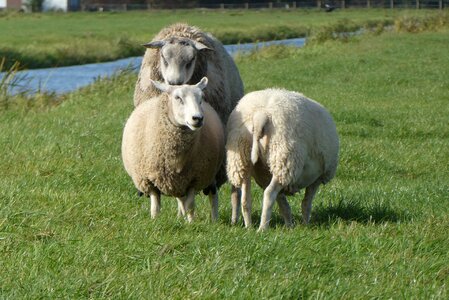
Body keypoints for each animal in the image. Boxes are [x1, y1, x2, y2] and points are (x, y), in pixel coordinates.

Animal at [121, 77, 224, 223]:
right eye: (177, 98)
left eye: (201, 98)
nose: (198, 118)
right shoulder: (150, 181)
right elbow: (155, 207)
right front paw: (155, 221)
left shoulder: (194, 179)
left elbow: (190, 205)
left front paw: (191, 223)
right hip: (176, 182)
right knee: (180, 199)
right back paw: (180, 217)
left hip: (209, 174)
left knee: (212, 195)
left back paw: (214, 220)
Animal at [226, 88, 338, 231]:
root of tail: (260, 115)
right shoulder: (318, 178)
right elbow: (306, 203)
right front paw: (305, 225)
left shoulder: (268, 176)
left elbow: (284, 205)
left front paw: (290, 226)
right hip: (284, 158)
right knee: (269, 194)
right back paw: (262, 228)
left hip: (242, 158)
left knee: (246, 199)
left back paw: (249, 227)